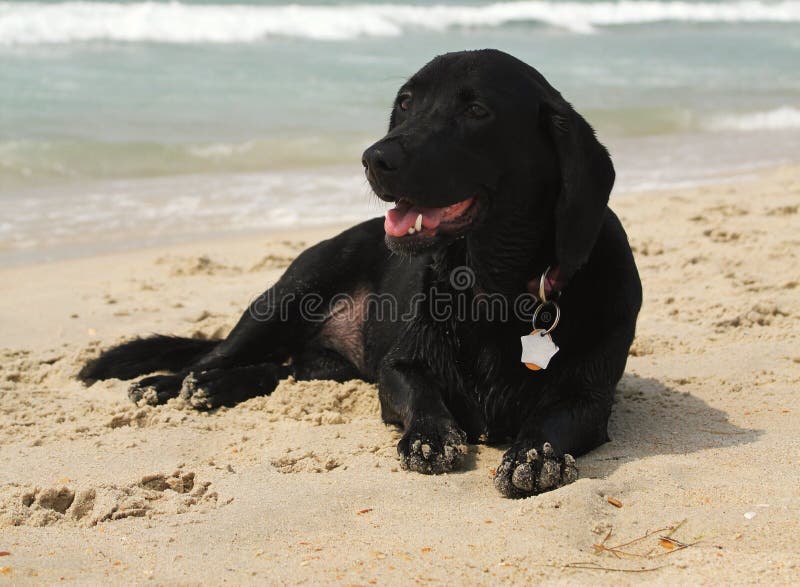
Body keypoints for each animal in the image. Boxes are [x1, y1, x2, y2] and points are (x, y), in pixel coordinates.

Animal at [79, 50, 644, 498]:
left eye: (477, 110)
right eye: (406, 103)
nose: (375, 157)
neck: (493, 293)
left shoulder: (591, 397)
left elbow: (554, 416)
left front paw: (536, 455)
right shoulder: (399, 365)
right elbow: (422, 394)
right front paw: (431, 437)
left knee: (282, 370)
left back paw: (215, 389)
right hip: (285, 298)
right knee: (215, 356)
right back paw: (171, 385)